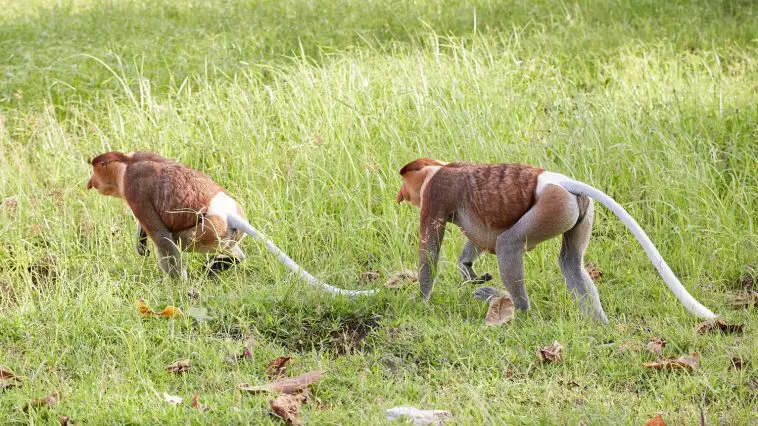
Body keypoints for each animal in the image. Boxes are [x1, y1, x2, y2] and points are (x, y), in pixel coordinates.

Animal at [87, 151, 375, 297]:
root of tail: (227, 212)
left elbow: (161, 237)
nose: (90, 183)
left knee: (177, 241)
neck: (127, 162)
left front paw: (175, 286)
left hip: (207, 231)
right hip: (224, 233)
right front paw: (140, 243)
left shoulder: (135, 189)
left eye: (95, 169)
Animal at [396, 158, 717, 322]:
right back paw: (597, 322)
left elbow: (430, 249)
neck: (439, 168)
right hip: (579, 210)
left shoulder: (436, 196)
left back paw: (517, 309)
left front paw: (419, 300)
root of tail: (557, 181)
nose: (399, 195)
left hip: (552, 207)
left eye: (404, 180)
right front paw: (467, 266)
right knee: (571, 262)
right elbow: (483, 233)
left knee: (509, 243)